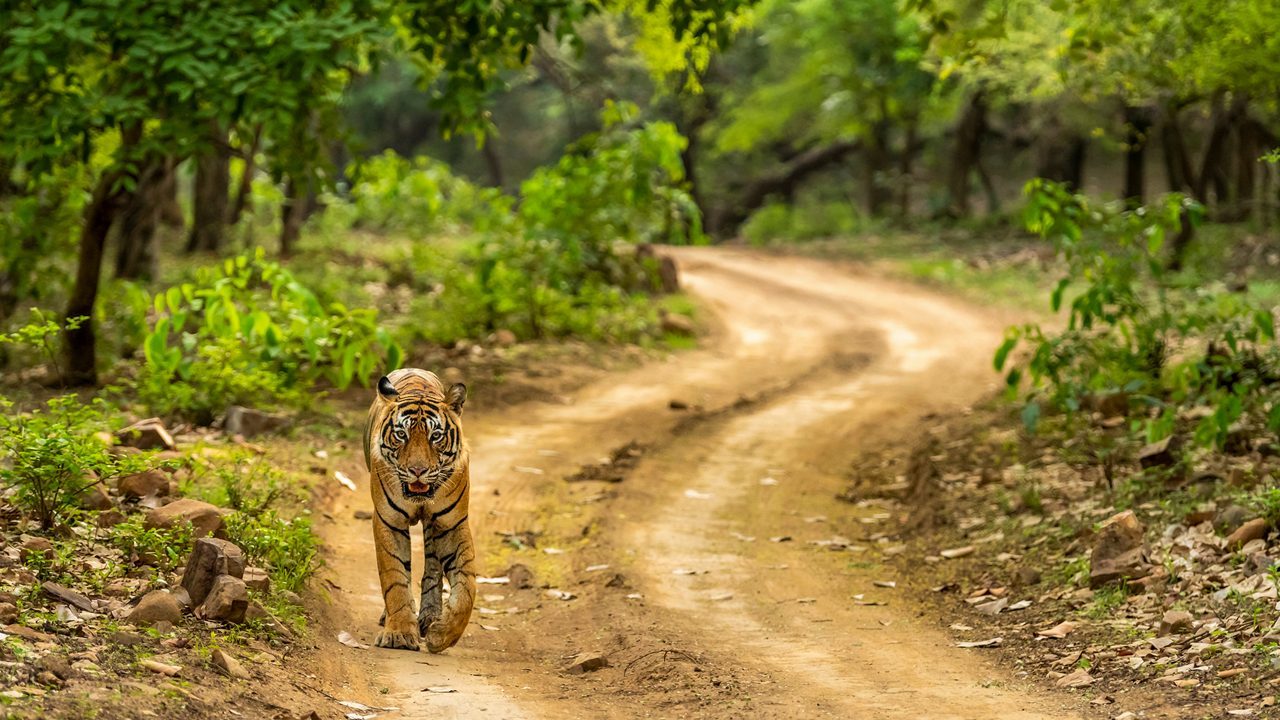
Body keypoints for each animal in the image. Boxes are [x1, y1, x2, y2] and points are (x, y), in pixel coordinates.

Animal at [363, 368, 475, 653]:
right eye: (401, 434)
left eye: (435, 436)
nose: (417, 470)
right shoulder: (388, 522)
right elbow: (394, 578)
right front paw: (400, 634)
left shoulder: (453, 524)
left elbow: (467, 587)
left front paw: (442, 635)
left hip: (435, 527)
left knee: (433, 566)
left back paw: (430, 616)